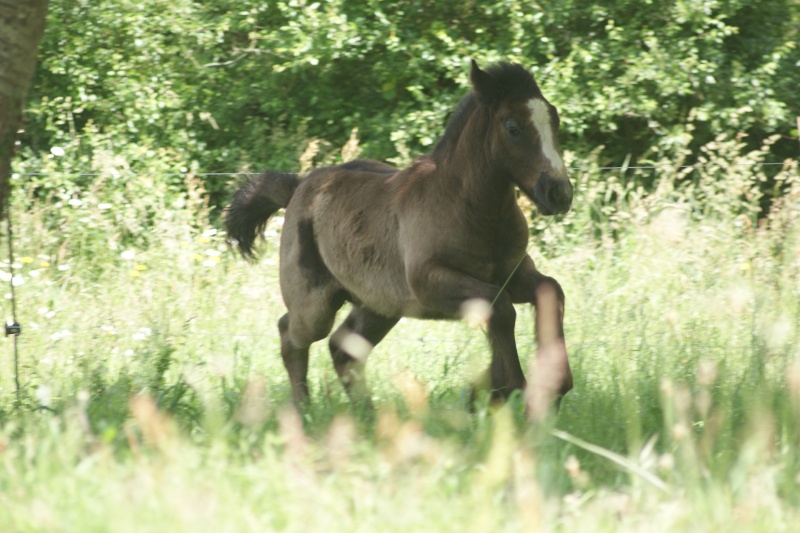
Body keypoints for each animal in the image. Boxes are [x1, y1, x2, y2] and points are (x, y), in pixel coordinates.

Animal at [227, 60, 576, 418]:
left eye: (555, 119)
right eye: (512, 127)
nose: (559, 193)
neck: (469, 207)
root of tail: (298, 186)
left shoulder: (513, 272)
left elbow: (550, 290)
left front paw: (541, 385)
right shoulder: (431, 282)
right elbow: (500, 307)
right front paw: (507, 388)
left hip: (378, 305)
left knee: (343, 348)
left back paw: (367, 416)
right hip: (315, 305)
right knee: (291, 336)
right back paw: (304, 412)